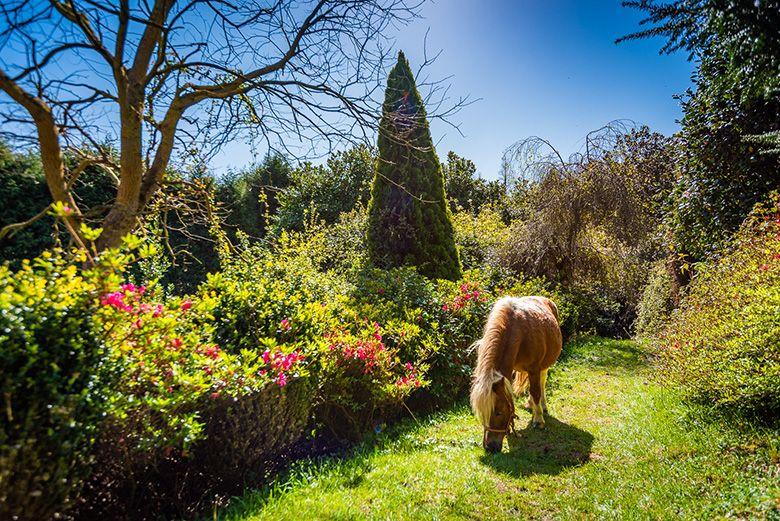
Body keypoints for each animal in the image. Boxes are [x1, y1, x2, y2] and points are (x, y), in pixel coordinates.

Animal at [470, 296, 560, 450]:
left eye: (498, 412)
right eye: (482, 414)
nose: (490, 447)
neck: (519, 332)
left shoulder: (534, 369)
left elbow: (536, 391)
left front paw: (539, 420)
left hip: (544, 366)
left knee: (541, 382)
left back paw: (542, 406)